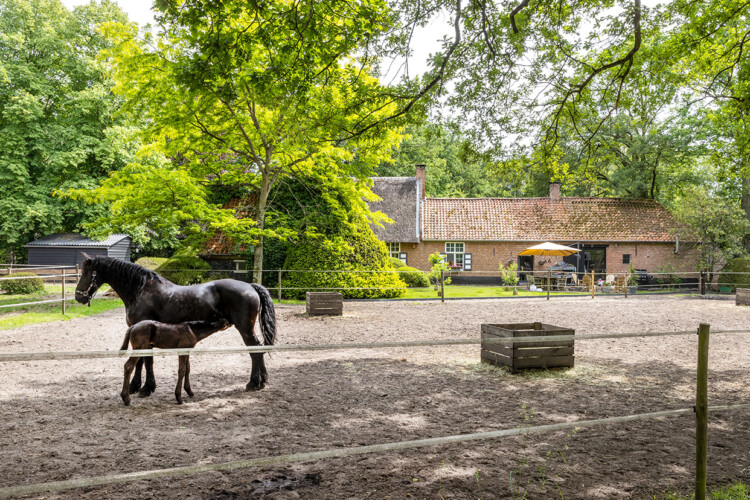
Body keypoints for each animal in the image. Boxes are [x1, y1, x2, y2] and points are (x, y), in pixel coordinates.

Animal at [74, 252, 276, 396]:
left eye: (86, 273)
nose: (78, 296)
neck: (140, 290)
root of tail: (250, 286)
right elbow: (142, 361)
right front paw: (137, 387)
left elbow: (146, 361)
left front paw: (145, 388)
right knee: (259, 349)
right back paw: (263, 381)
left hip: (245, 328)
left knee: (254, 350)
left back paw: (253, 383)